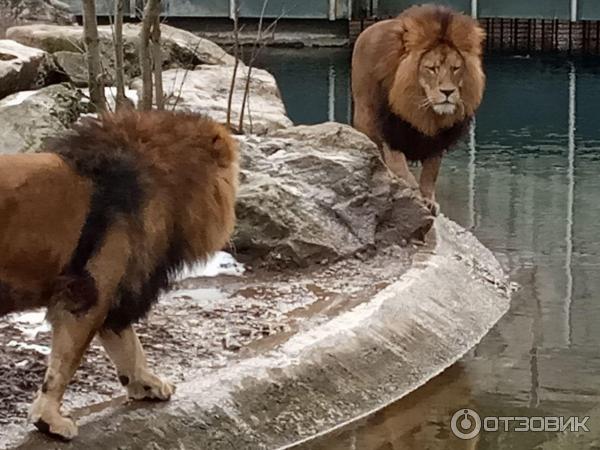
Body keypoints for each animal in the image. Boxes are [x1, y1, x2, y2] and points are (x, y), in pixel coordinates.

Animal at [0, 109, 239, 440]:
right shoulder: (89, 291)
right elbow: (65, 362)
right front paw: (49, 420)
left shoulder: (116, 291)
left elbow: (130, 347)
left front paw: (148, 384)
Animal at [352, 3, 488, 214]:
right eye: (431, 68)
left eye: (456, 68)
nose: (447, 92)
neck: (424, 113)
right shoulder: (391, 131)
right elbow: (399, 165)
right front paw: (410, 187)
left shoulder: (437, 142)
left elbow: (430, 173)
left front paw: (428, 199)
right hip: (365, 119)